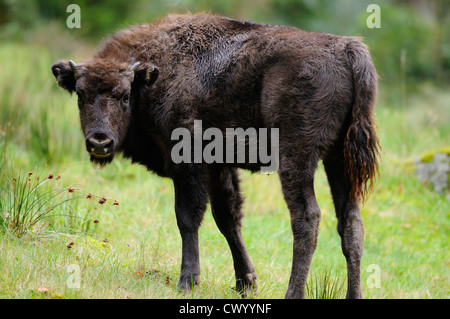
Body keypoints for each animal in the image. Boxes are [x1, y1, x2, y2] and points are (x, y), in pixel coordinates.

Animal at [51, 11, 380, 298]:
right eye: (81, 94)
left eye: (124, 95)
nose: (99, 142)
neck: (154, 74)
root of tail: (346, 48)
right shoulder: (220, 166)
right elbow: (227, 218)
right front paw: (246, 282)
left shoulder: (187, 163)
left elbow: (188, 216)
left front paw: (187, 281)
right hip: (339, 160)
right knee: (351, 224)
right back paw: (354, 295)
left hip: (297, 158)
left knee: (306, 218)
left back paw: (293, 293)